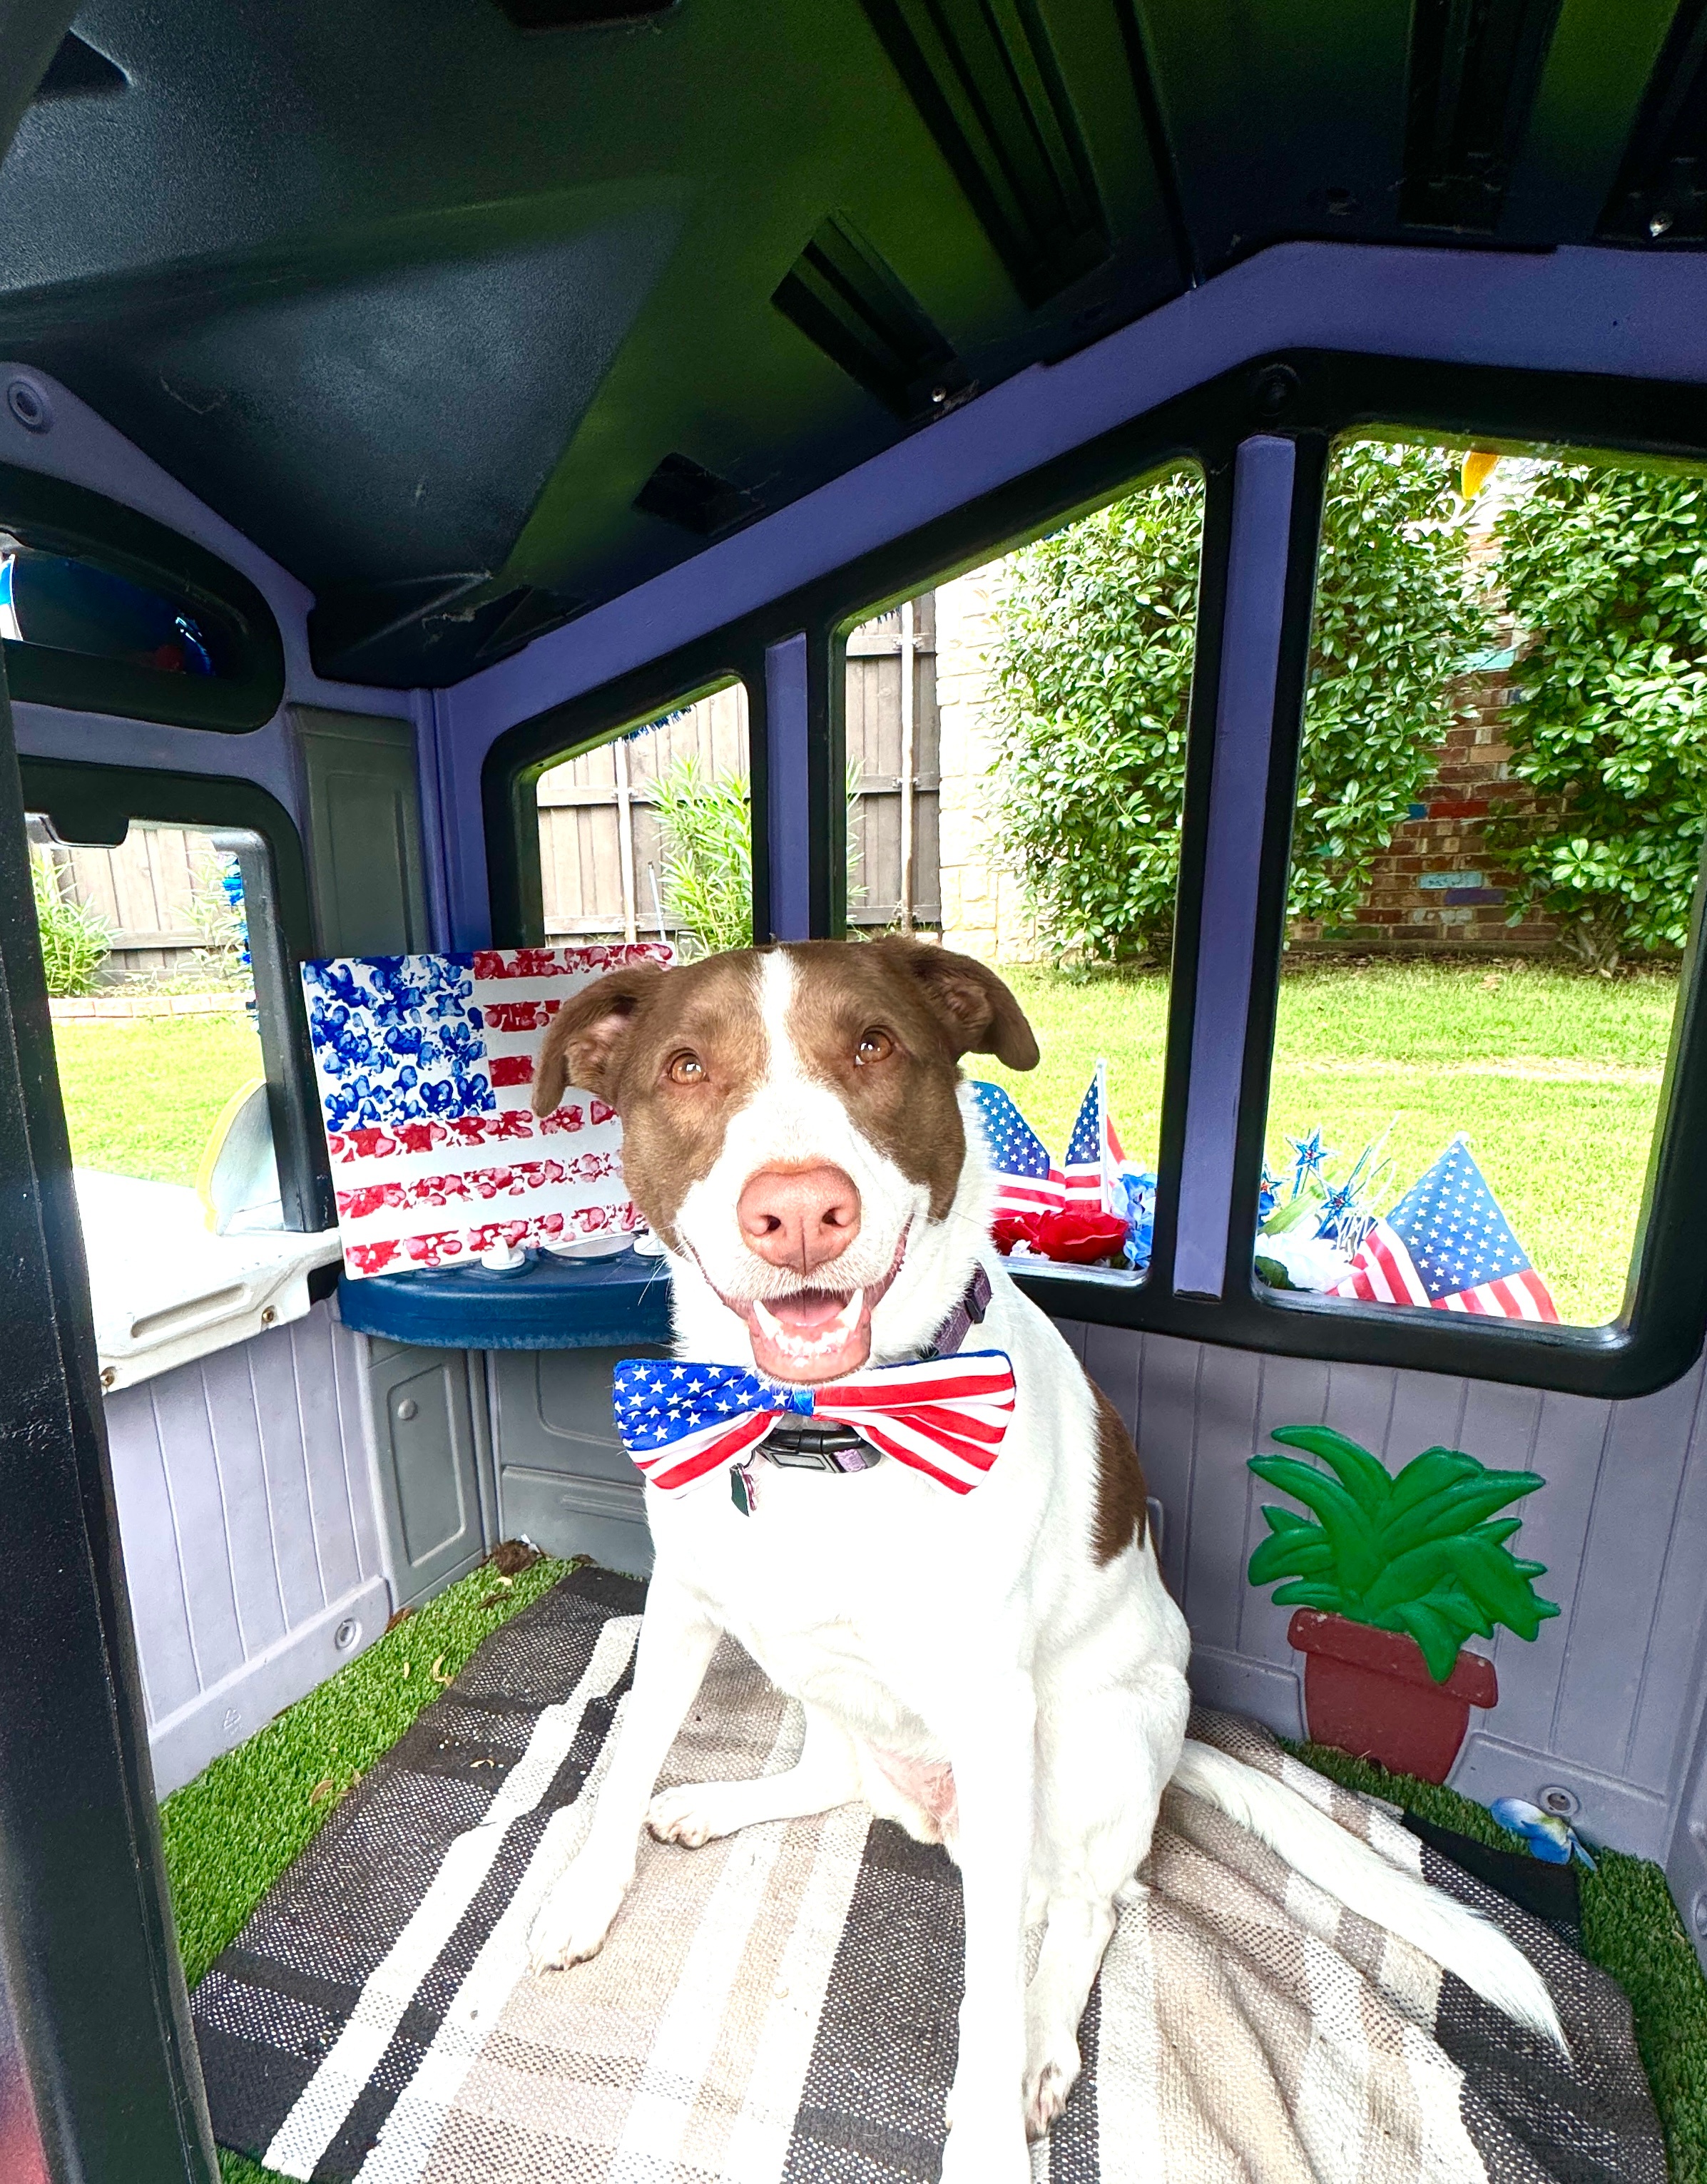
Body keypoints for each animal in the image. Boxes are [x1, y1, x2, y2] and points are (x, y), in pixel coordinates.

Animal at [528, 939, 1571, 2184]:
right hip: (827, 1688)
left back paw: (1038, 2046)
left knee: (1086, 1906)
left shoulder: (988, 1710)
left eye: (875, 1044)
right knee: (840, 1777)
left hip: (1086, 1746)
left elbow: (986, 1991)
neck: (820, 1428)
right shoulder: (683, 1603)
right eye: (685, 1065)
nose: (799, 1211)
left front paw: (986, 2131)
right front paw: (585, 1897)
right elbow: (630, 1750)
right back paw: (723, 1805)